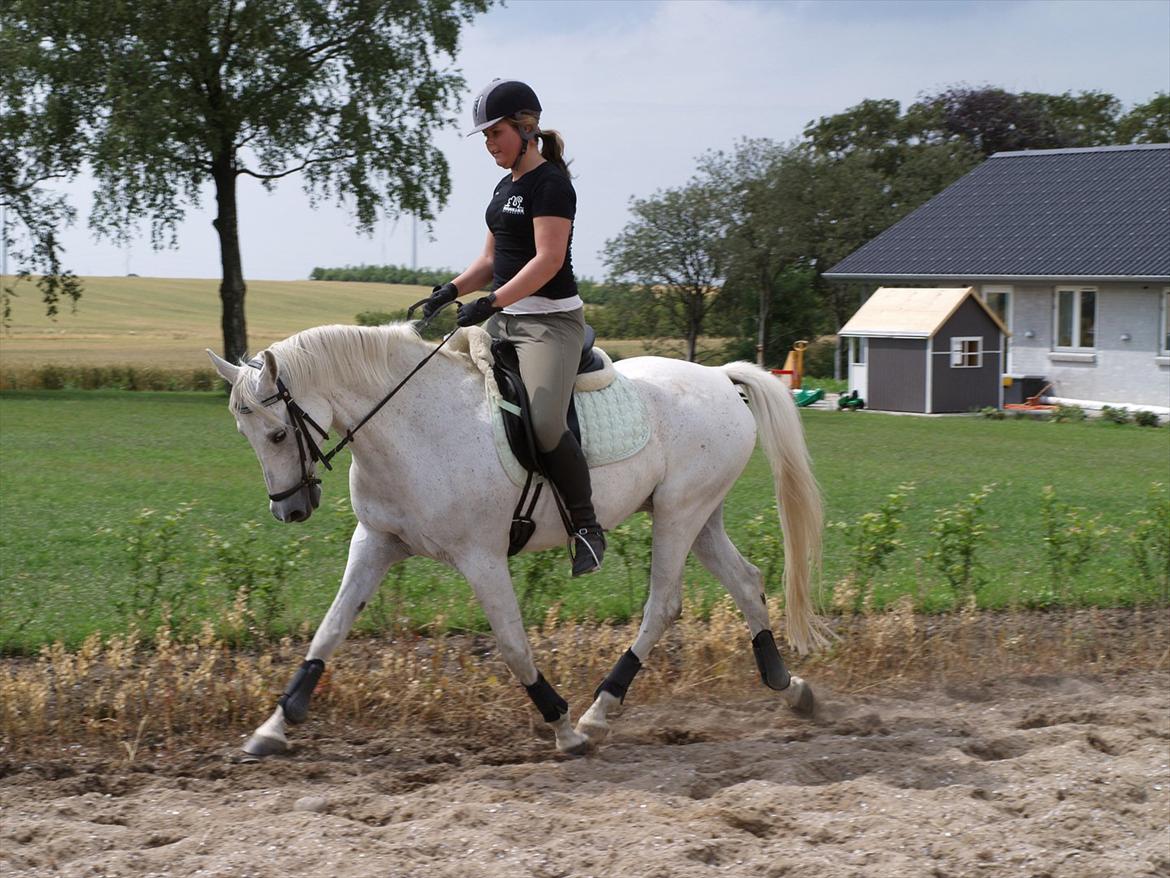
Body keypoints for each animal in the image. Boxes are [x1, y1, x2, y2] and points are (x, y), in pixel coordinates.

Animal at [210, 323, 833, 758]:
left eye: (276, 433)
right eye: (243, 433)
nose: (289, 509)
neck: (410, 426)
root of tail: (721, 379)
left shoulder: (480, 557)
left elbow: (512, 643)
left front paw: (561, 726)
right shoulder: (377, 542)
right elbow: (329, 631)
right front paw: (274, 726)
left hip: (680, 514)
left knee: (663, 605)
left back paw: (598, 712)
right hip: (699, 515)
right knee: (747, 583)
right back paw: (791, 689)